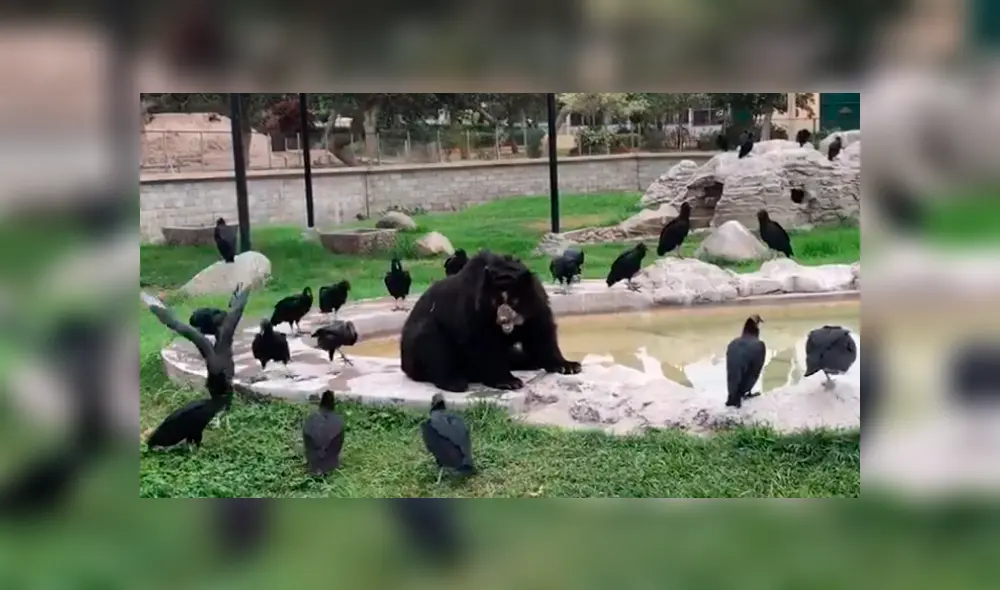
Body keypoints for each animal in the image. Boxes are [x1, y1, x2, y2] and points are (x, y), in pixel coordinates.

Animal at [400, 250, 581, 393]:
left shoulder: (536, 307)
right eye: (496, 302)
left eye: (514, 301)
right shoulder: (474, 313)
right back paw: (456, 382)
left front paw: (570, 366)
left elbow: (541, 334)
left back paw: (530, 363)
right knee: (434, 347)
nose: (503, 320)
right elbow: (483, 345)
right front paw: (509, 382)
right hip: (422, 336)